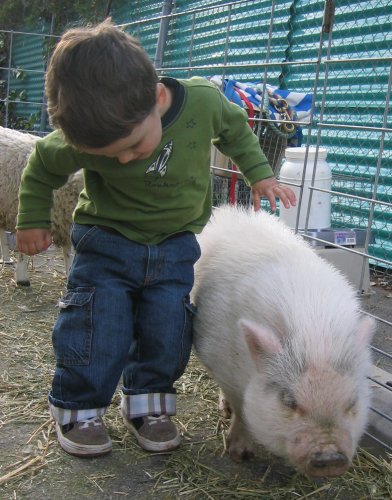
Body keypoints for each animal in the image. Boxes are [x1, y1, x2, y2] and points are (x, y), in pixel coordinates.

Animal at [191, 205, 376, 478]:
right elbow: (242, 409)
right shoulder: (223, 363)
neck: (315, 334)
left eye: (352, 402)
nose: (331, 458)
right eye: (289, 401)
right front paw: (240, 455)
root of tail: (231, 212)